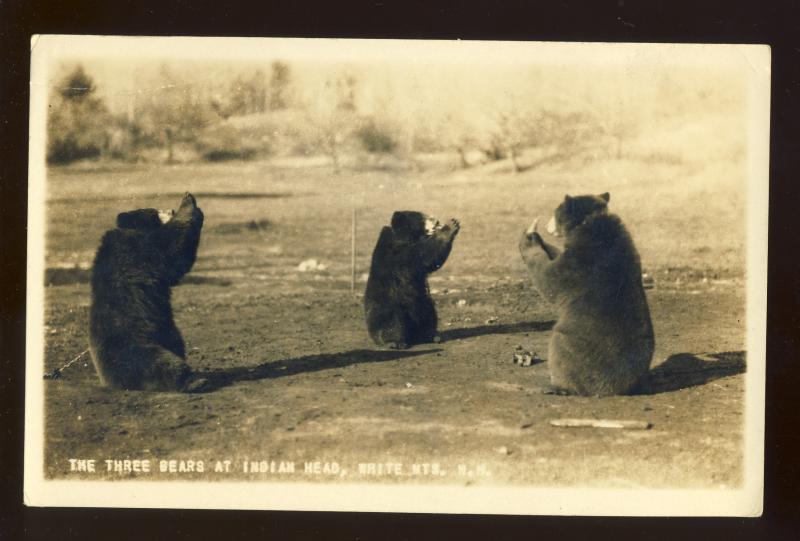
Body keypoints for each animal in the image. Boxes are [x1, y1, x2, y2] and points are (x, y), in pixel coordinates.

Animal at [88, 192, 206, 390]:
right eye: (155, 211)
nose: (170, 209)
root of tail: (112, 381)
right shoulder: (141, 250)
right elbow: (173, 251)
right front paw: (188, 202)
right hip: (135, 345)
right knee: (160, 362)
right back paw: (193, 381)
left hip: (167, 333)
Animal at [364, 209, 460, 348]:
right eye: (422, 217)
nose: (436, 221)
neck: (408, 237)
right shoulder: (398, 252)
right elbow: (424, 255)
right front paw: (451, 225)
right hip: (389, 304)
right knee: (393, 321)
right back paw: (394, 341)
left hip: (423, 301)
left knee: (429, 316)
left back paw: (431, 336)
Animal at [520, 192, 656, 394]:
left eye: (556, 211)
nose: (547, 225)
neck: (589, 222)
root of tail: (615, 389)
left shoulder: (577, 263)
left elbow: (548, 280)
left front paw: (530, 239)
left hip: (572, 347)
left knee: (559, 351)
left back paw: (556, 386)